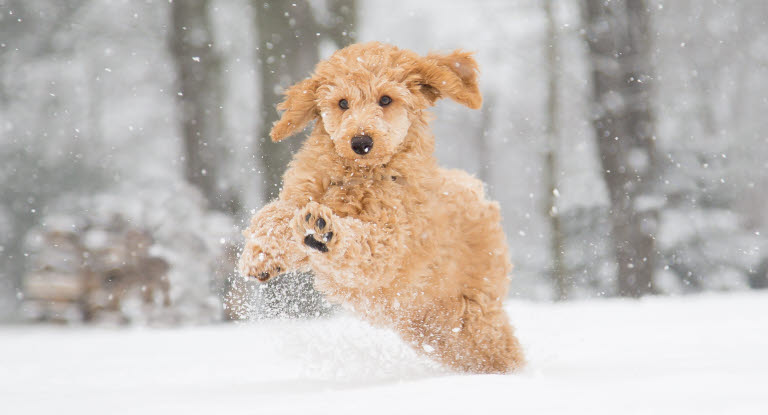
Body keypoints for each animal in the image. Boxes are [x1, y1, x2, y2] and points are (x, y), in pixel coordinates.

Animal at [240, 41, 524, 374]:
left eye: (386, 99)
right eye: (342, 103)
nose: (361, 142)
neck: (359, 176)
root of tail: (478, 193)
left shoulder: (391, 242)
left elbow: (364, 242)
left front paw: (325, 231)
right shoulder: (302, 194)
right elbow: (273, 215)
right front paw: (259, 257)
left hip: (473, 312)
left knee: (499, 348)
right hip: (428, 325)